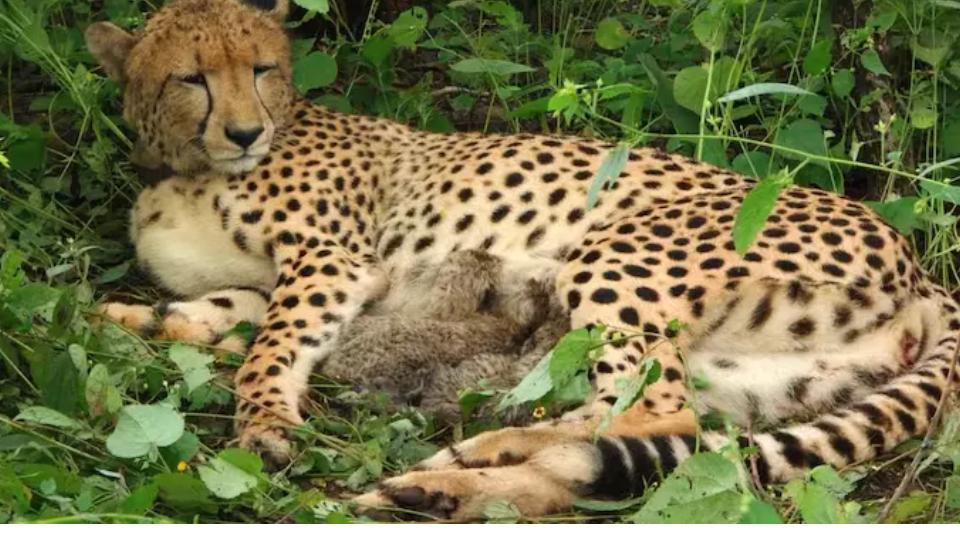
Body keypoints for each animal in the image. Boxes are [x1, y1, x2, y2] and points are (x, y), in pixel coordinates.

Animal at [86, 0, 959, 520]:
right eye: (191, 78)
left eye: (262, 69)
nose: (244, 132)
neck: (188, 166)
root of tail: (922, 269)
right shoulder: (283, 281)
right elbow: (218, 316)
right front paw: (132, 318)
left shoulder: (333, 262)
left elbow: (268, 347)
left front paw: (263, 422)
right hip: (755, 376)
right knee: (635, 434)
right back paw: (450, 477)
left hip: (617, 253)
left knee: (653, 413)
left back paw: (459, 468)